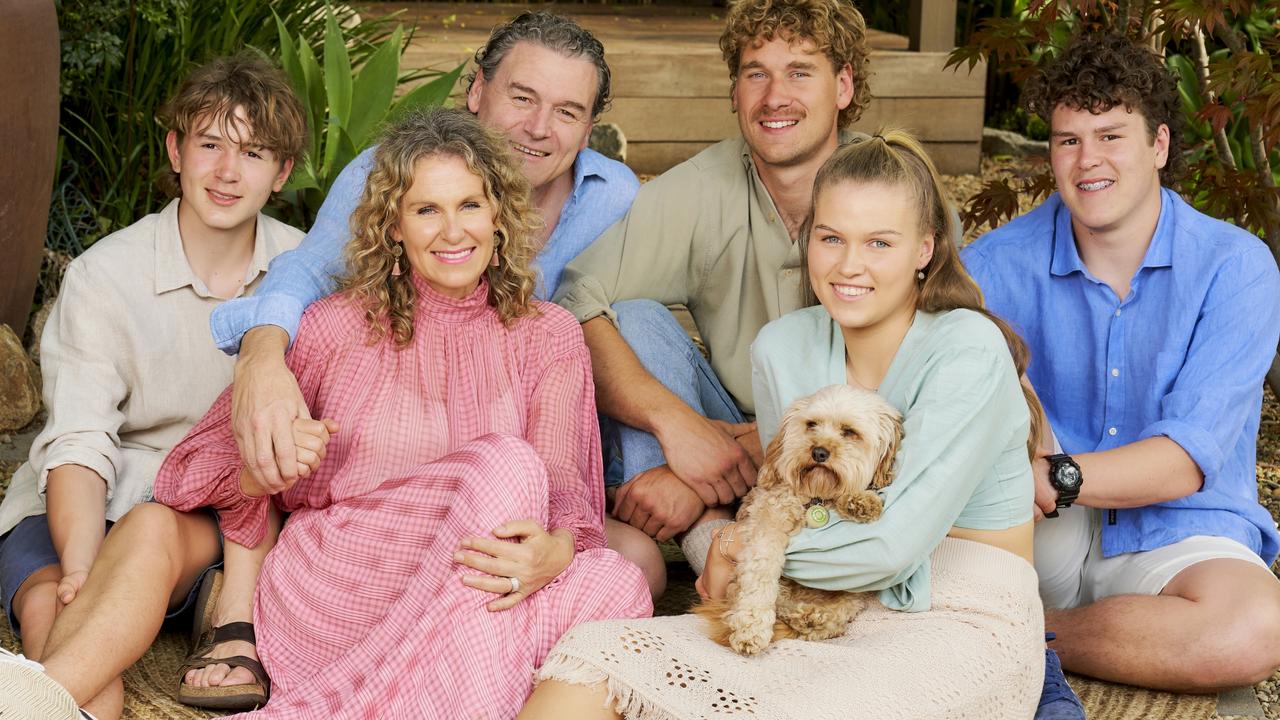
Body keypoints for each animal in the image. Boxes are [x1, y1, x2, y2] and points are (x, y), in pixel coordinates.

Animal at [701, 384, 901, 653]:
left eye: (849, 432)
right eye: (811, 424)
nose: (819, 452)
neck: (816, 497)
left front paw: (860, 501)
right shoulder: (767, 521)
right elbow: (760, 573)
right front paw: (751, 628)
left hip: (855, 590)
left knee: (842, 607)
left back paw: (811, 618)